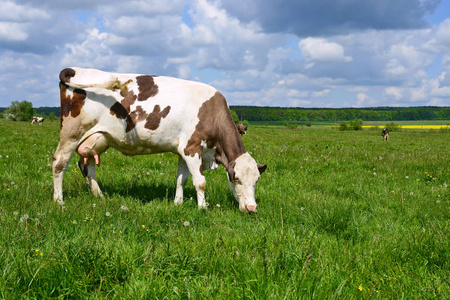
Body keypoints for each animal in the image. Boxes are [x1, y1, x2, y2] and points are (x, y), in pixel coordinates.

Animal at [51, 68, 268, 212]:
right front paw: (203, 208)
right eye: (236, 178)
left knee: (87, 164)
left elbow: (182, 179)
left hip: (96, 138)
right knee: (59, 163)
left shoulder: (183, 150)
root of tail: (73, 69)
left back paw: (99, 195)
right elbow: (200, 182)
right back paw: (59, 201)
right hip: (71, 133)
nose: (251, 208)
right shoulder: (192, 147)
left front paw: (178, 203)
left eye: (257, 180)